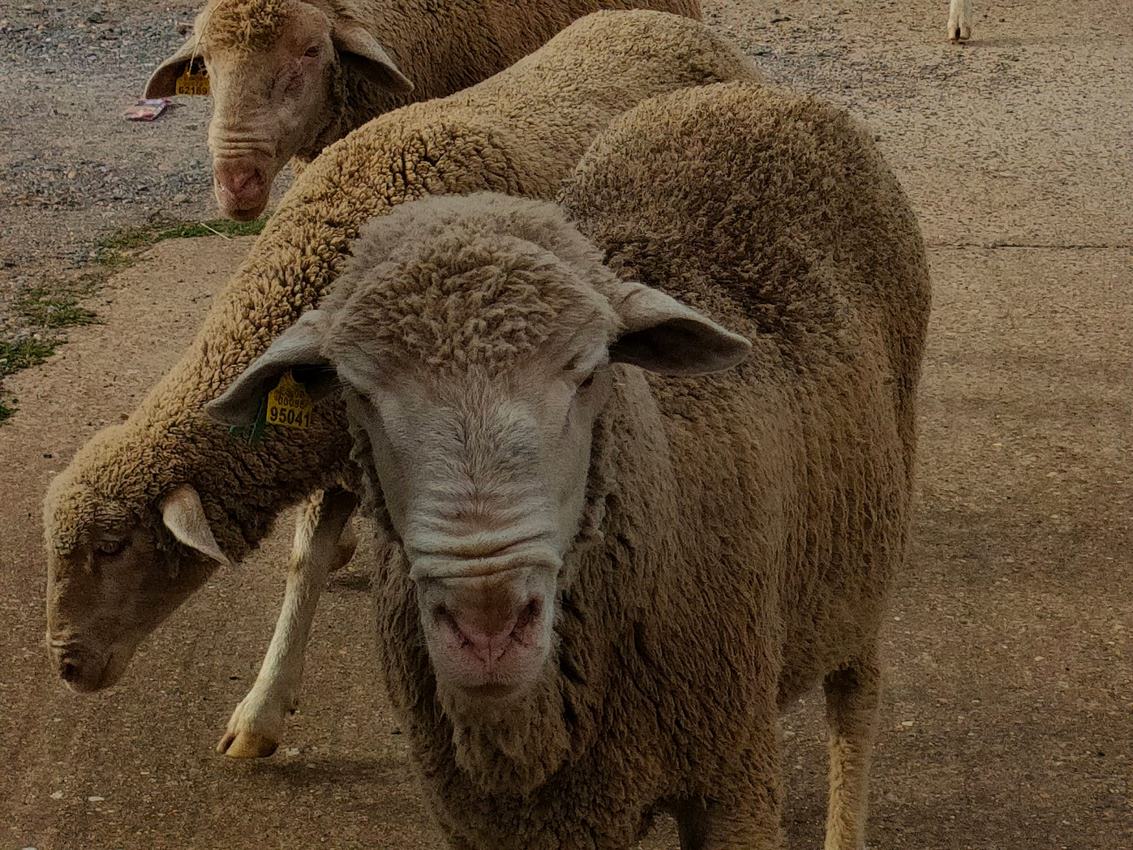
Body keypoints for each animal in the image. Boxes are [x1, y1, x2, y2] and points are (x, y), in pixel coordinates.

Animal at [206, 76, 929, 847]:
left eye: (588, 372)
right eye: (356, 391)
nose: (488, 626)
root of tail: (754, 93)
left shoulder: (731, 776)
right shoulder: (483, 819)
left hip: (865, 547)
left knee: (855, 701)